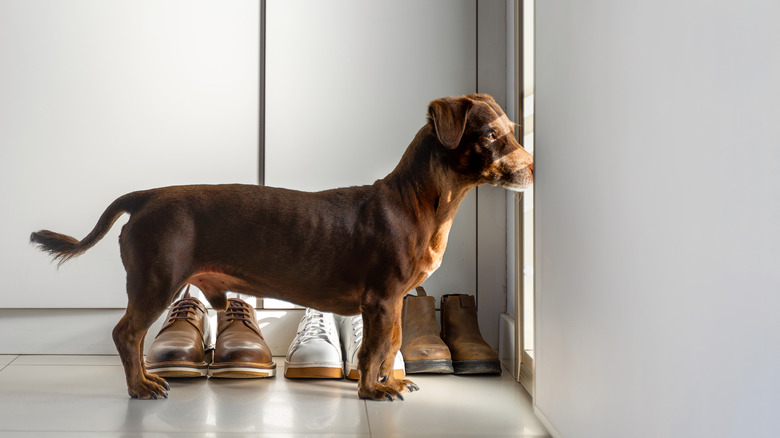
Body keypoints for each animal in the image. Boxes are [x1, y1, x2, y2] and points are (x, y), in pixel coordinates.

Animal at [30, 94, 532, 402]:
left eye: (511, 128)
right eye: (491, 134)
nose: (532, 168)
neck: (415, 202)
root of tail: (146, 196)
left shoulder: (396, 302)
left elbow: (391, 345)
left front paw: (391, 380)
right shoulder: (381, 298)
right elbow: (373, 350)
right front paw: (373, 391)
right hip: (157, 280)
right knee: (127, 334)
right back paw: (140, 386)